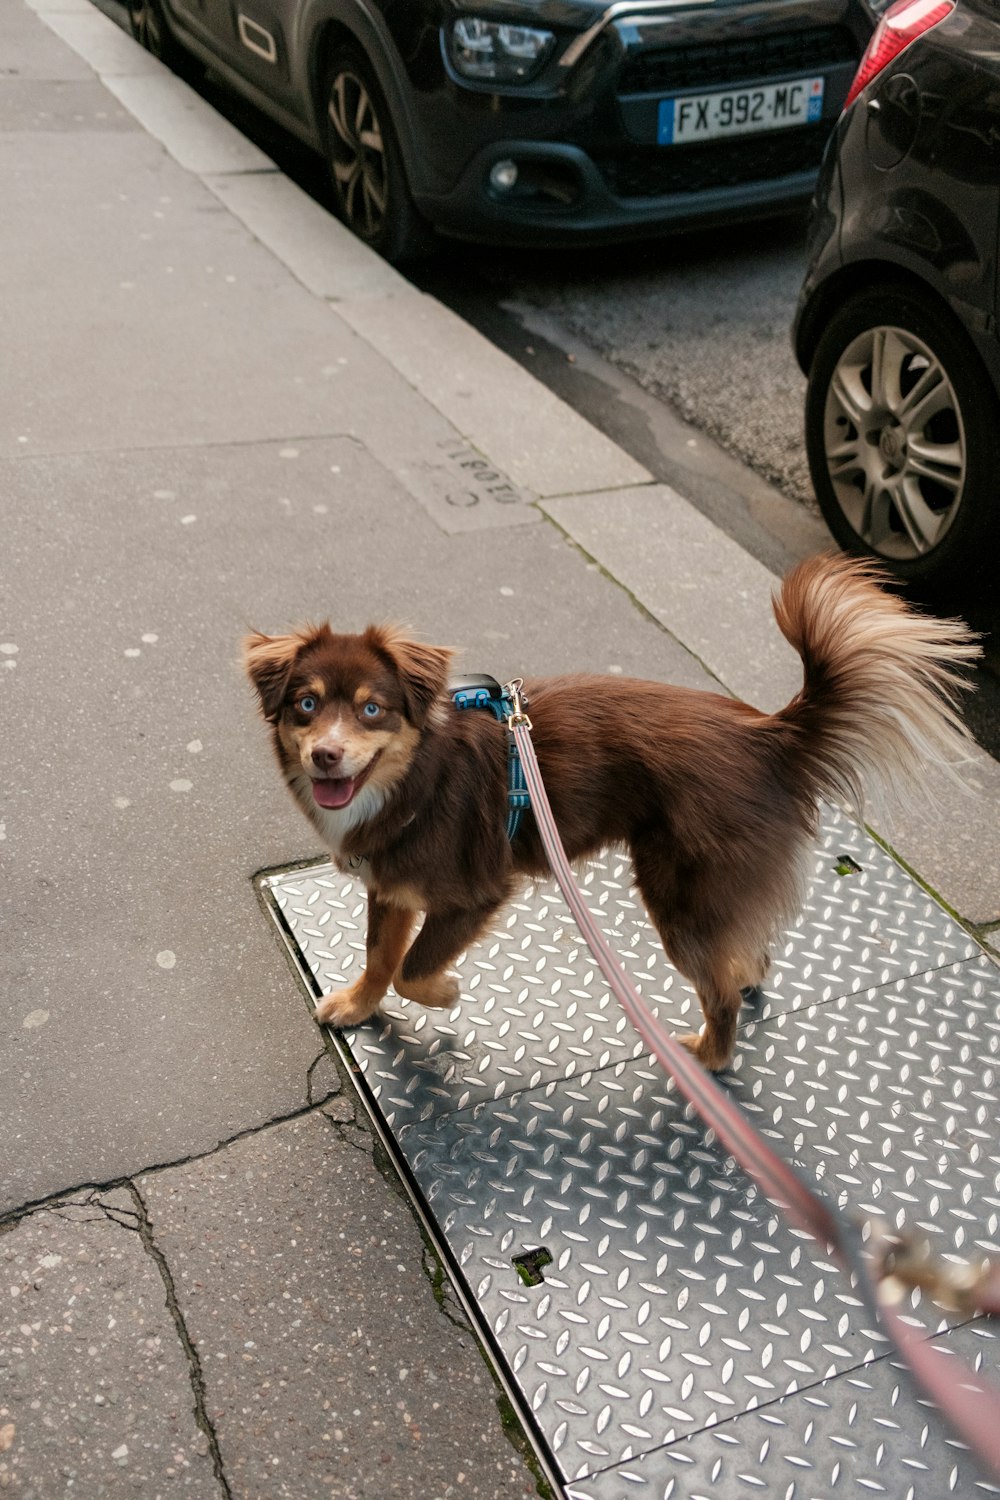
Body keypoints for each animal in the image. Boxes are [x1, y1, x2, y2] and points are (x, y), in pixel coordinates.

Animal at [248, 558, 977, 1074]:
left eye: (372, 710)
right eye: (306, 705)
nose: (326, 756)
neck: (411, 780)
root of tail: (770, 734)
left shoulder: (473, 896)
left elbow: (412, 968)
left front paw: (447, 992)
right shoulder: (392, 887)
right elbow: (379, 957)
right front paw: (357, 1005)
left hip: (679, 899)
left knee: (720, 997)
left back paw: (704, 1055)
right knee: (749, 955)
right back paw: (744, 976)